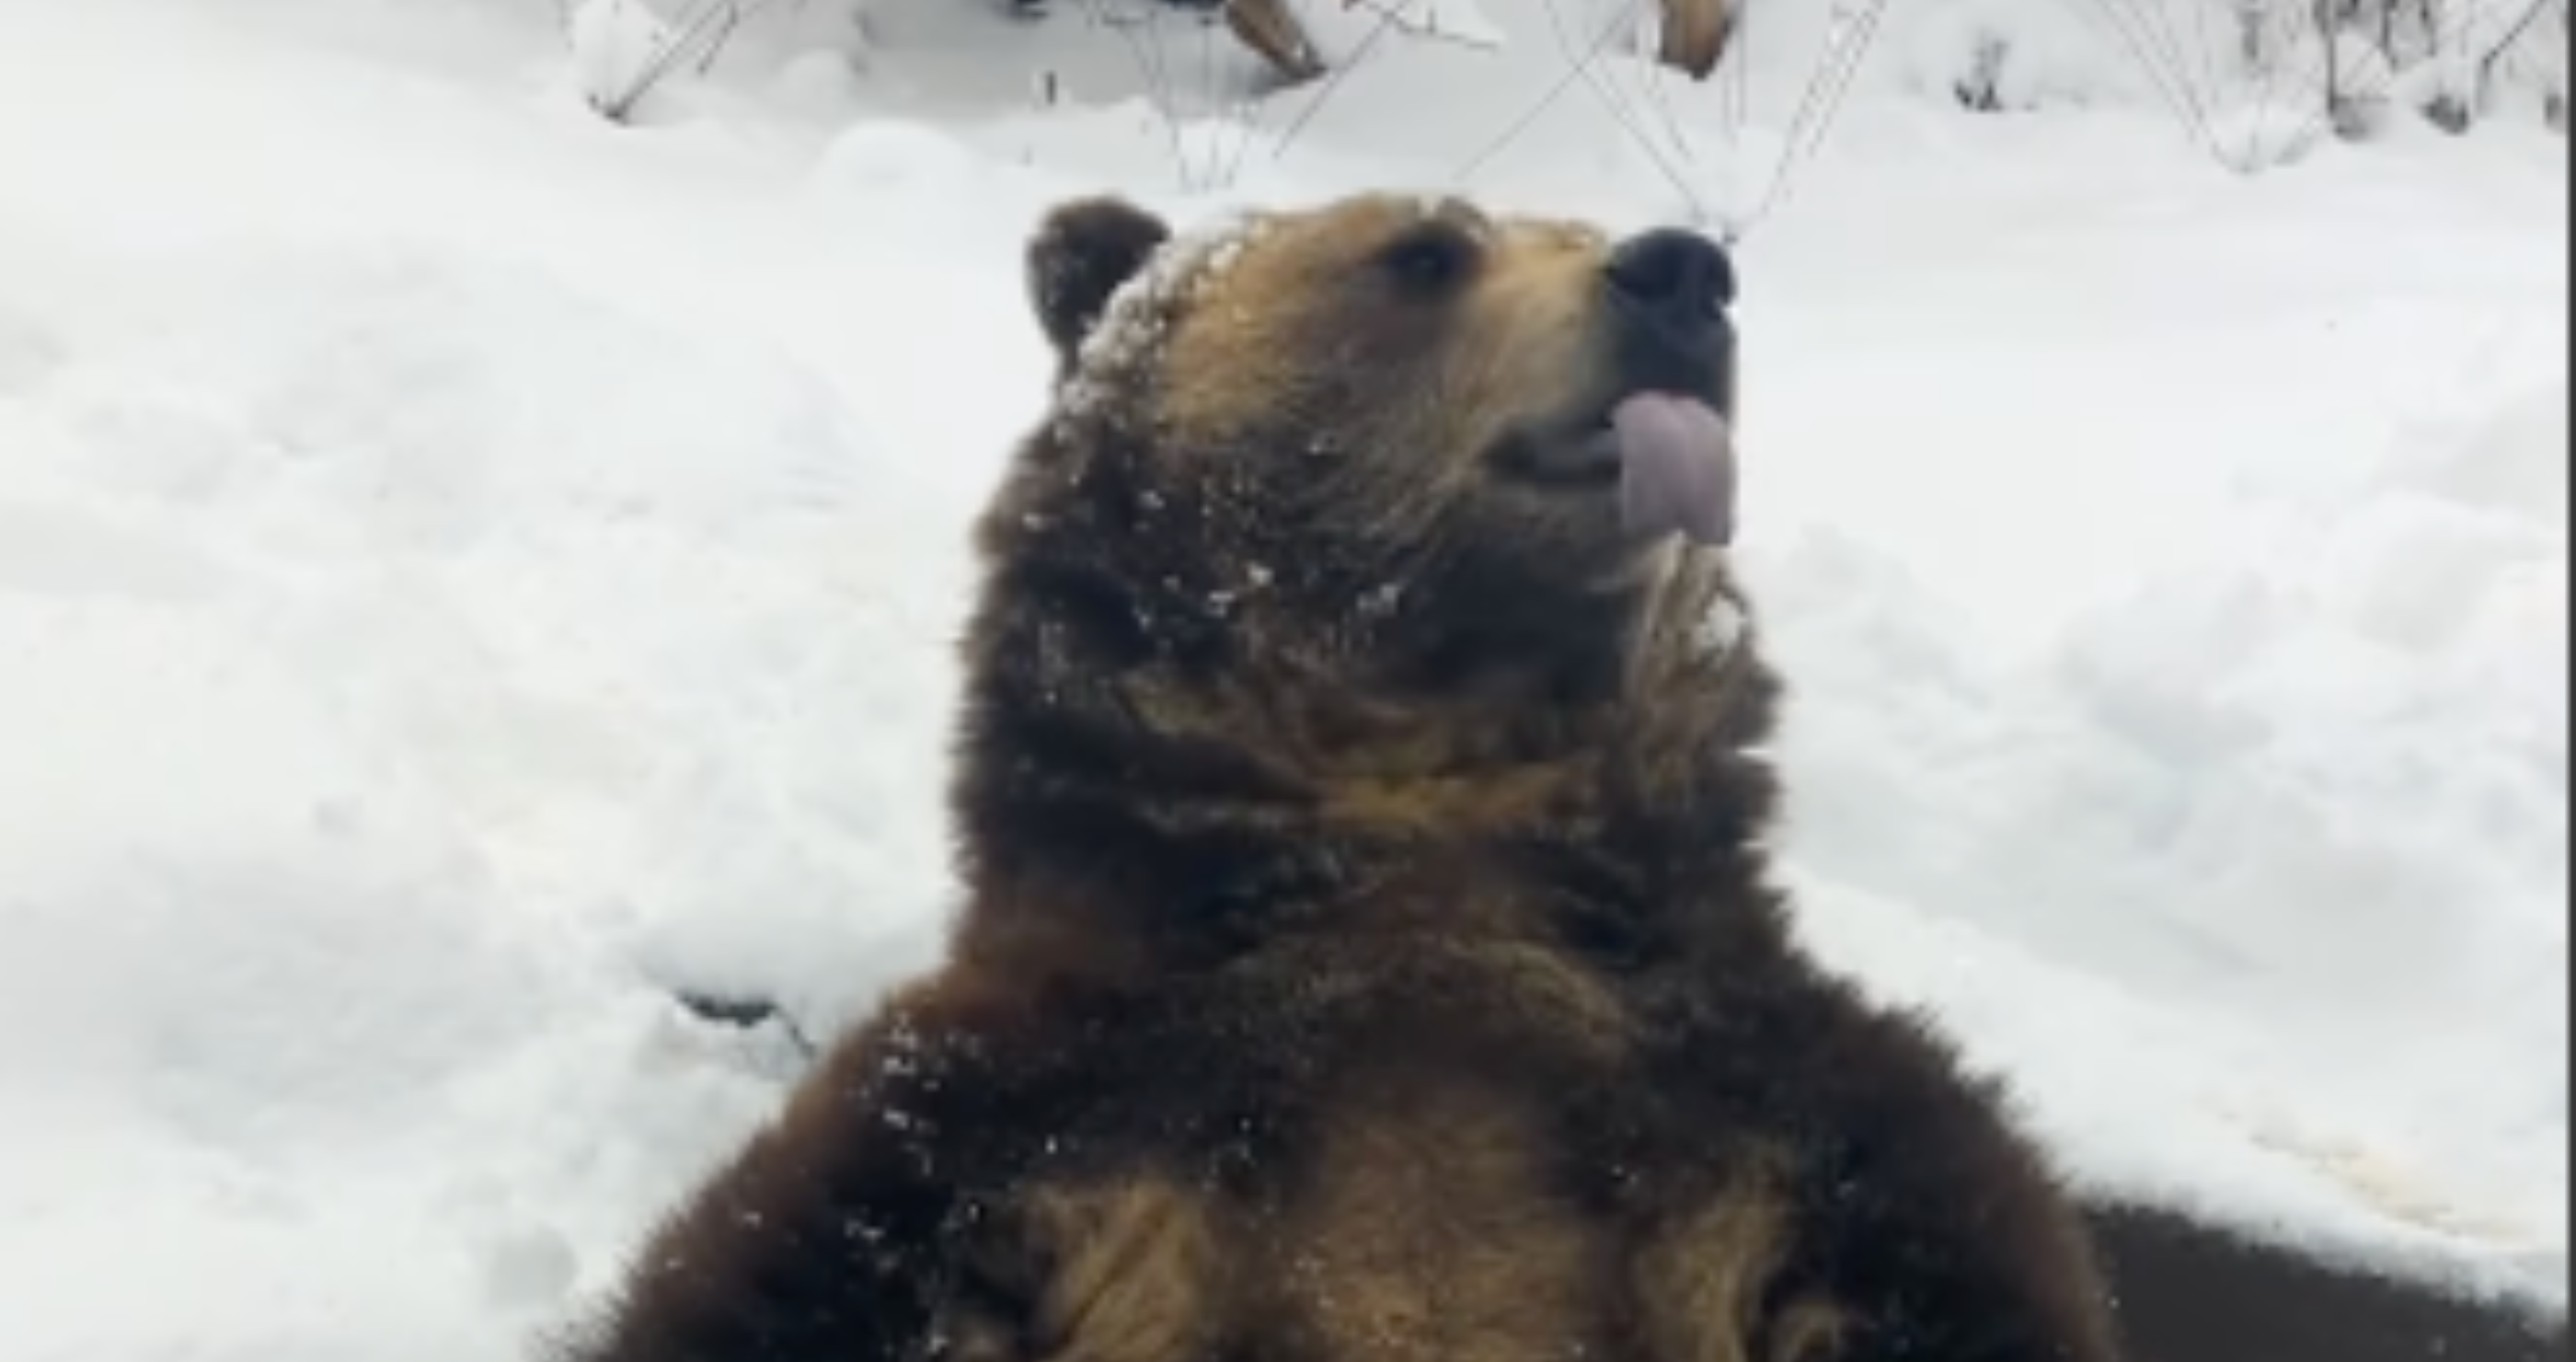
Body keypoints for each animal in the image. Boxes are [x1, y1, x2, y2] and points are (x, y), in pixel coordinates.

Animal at [548, 190, 2124, 1362]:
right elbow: (777, 1281)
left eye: (1585, 223)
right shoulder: (1027, 1110)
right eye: (1424, 250)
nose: (1682, 272)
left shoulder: (1789, 1119)